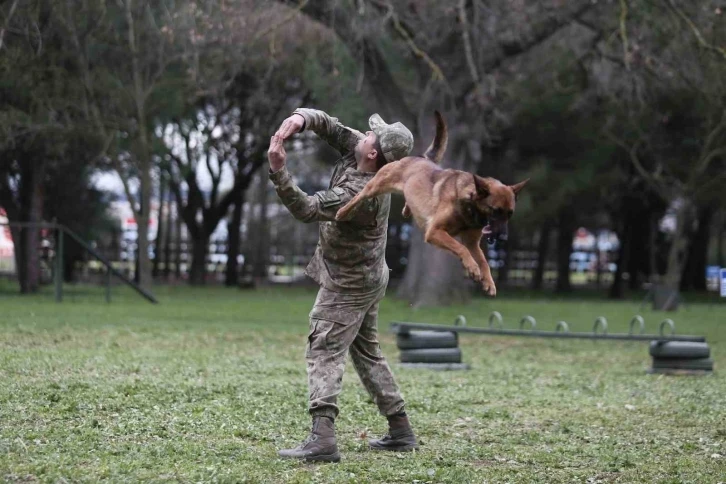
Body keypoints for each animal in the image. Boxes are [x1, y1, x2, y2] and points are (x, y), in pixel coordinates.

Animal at [336, 111, 528, 296]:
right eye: (495, 210)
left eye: (510, 213)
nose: (503, 237)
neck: (469, 207)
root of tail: (420, 157)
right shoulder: (435, 232)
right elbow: (460, 248)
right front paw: (472, 268)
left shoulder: (472, 242)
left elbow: (483, 260)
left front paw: (488, 281)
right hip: (376, 185)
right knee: (358, 197)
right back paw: (343, 211)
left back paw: (407, 209)